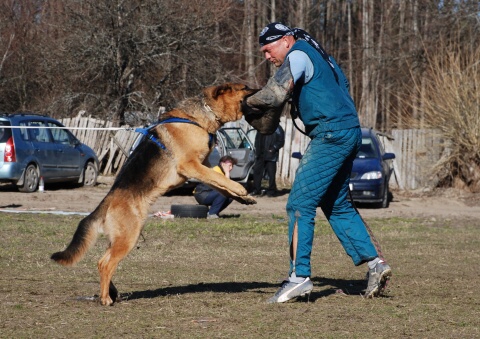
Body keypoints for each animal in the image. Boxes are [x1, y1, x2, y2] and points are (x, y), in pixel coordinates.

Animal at [50, 83, 256, 306]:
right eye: (245, 88)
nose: (260, 90)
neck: (200, 116)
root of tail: (107, 200)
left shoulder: (202, 168)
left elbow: (220, 183)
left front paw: (243, 197)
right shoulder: (191, 166)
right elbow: (223, 180)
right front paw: (242, 190)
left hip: (120, 239)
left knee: (102, 261)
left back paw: (112, 293)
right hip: (128, 238)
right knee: (105, 264)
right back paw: (105, 298)